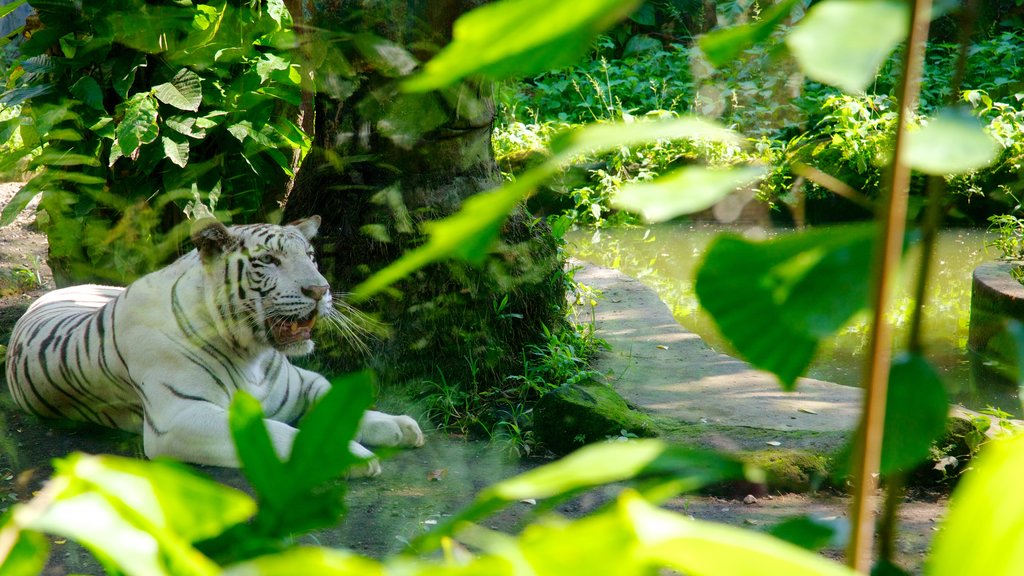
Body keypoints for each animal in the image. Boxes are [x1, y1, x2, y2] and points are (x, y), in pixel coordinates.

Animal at [4, 215, 419, 475]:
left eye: (311, 256)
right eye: (269, 260)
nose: (320, 290)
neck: (253, 351)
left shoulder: (304, 382)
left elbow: (337, 402)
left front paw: (400, 427)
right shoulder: (178, 419)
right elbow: (279, 431)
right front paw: (350, 456)